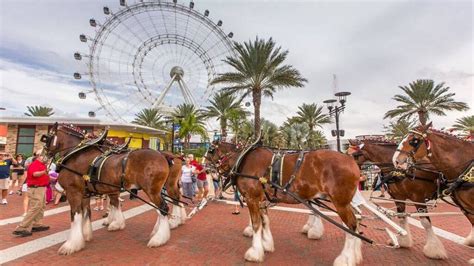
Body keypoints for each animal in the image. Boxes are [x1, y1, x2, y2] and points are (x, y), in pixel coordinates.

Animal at [40, 124, 170, 254]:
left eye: (46, 138)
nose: (42, 156)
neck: (75, 154)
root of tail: (162, 156)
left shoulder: (73, 192)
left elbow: (75, 215)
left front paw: (71, 245)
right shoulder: (85, 193)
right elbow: (87, 212)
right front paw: (86, 235)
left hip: (152, 191)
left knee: (163, 208)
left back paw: (159, 239)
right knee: (160, 210)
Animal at [206, 141, 362, 264]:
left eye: (210, 150)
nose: (205, 166)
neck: (243, 159)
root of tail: (351, 160)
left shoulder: (252, 198)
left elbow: (256, 224)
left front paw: (255, 252)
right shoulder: (262, 200)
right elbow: (265, 222)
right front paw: (266, 244)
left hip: (340, 203)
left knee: (351, 226)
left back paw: (345, 259)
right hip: (343, 202)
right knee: (355, 222)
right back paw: (354, 256)